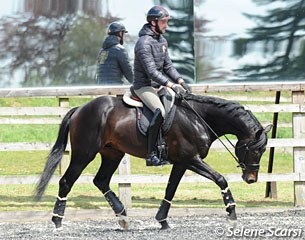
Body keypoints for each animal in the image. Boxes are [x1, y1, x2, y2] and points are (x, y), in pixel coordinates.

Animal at [34, 92, 270, 231]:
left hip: (113, 154)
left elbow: (170, 189)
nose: (251, 178)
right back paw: (57, 220)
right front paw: (231, 211)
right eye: (255, 149)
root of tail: (80, 109)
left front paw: (163, 220)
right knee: (66, 182)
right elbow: (220, 179)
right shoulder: (190, 159)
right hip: (84, 153)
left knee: (101, 181)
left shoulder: (182, 162)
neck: (198, 117)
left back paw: (123, 217)